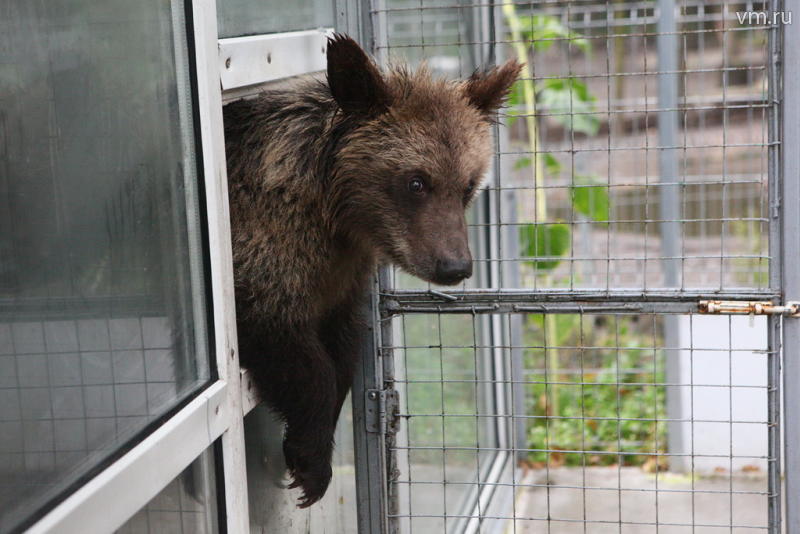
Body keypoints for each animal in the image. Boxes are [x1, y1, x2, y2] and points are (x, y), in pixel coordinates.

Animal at [223, 35, 520, 508]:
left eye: (467, 185)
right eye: (416, 181)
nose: (455, 265)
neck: (334, 216)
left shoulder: (342, 277)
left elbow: (344, 350)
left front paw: (309, 453)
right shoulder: (266, 257)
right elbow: (301, 356)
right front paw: (310, 465)